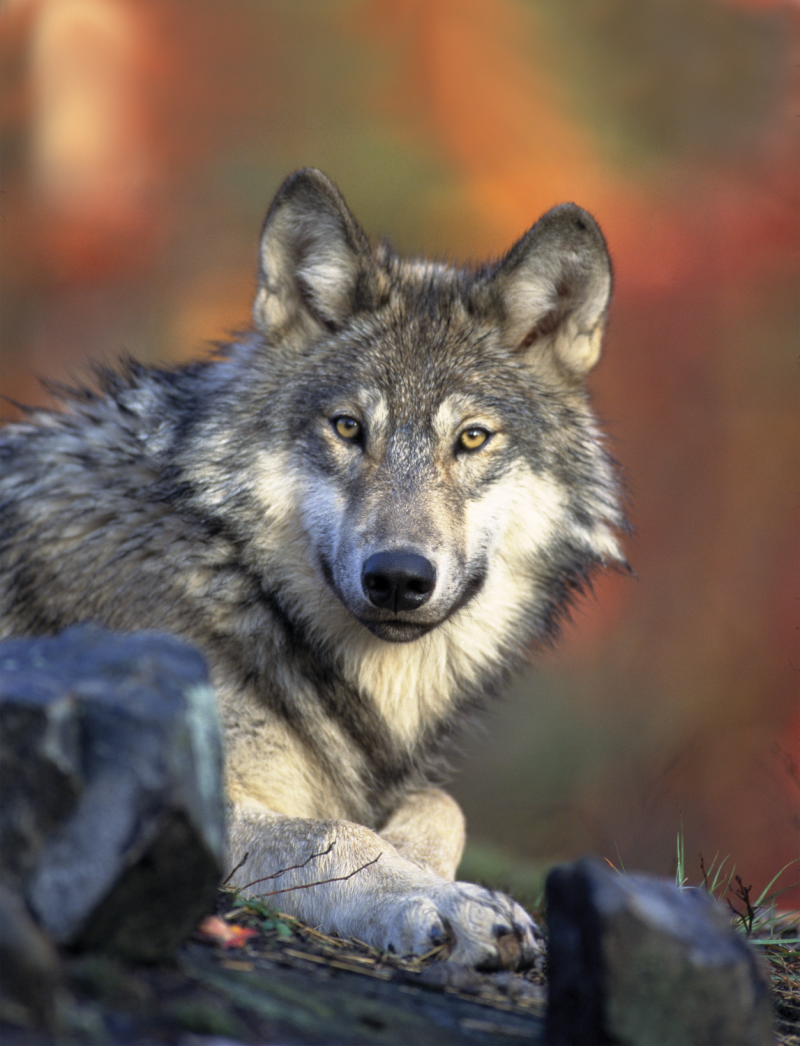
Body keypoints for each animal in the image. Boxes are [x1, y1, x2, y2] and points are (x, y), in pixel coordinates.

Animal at [0, 168, 626, 969]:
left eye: (472, 438)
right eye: (349, 428)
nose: (398, 577)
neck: (236, 579)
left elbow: (440, 804)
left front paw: (429, 872)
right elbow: (335, 833)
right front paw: (447, 902)